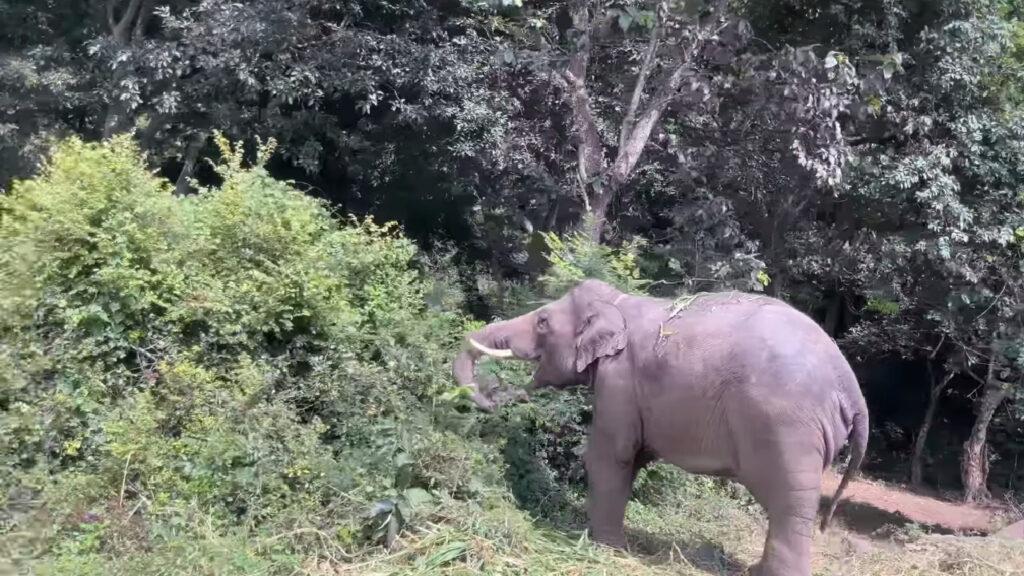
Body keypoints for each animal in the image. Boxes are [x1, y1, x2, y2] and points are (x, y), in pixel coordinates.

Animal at [452, 278, 868, 573]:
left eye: (542, 322)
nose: (494, 395)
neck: (618, 302)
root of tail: (851, 388)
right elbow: (634, 458)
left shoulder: (619, 379)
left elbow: (610, 456)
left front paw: (605, 547)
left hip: (787, 429)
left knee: (789, 505)